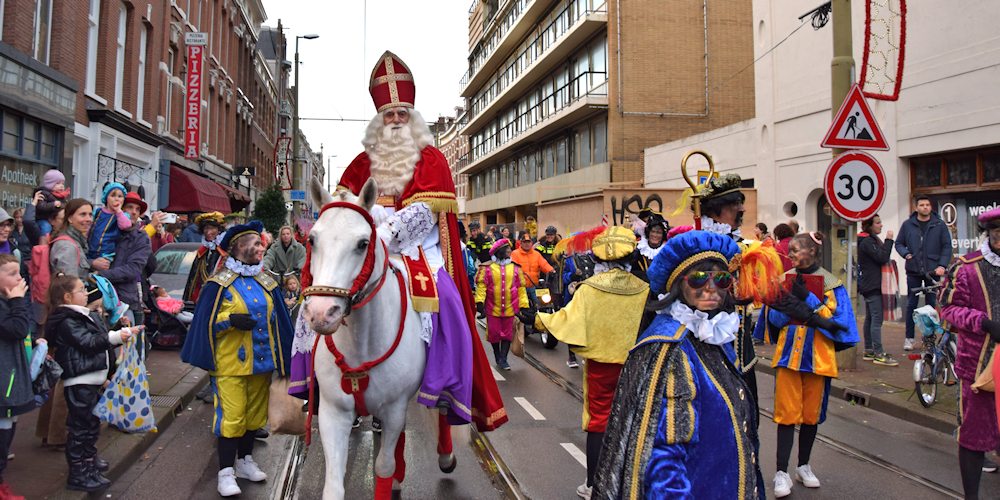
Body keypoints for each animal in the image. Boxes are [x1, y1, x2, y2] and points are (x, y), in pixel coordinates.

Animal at [302, 178, 456, 498]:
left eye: (363, 243)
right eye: (312, 240)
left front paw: (392, 476)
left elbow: (383, 466)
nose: (322, 313)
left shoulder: (394, 409)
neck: (361, 345)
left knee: (444, 408)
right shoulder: (333, 412)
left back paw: (445, 456)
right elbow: (333, 485)